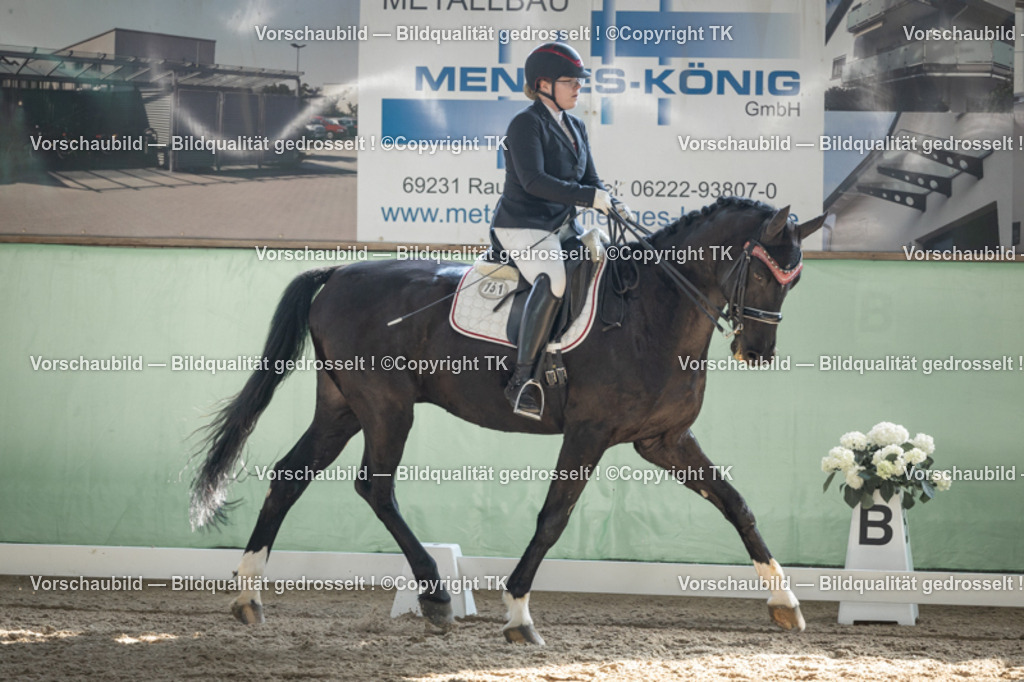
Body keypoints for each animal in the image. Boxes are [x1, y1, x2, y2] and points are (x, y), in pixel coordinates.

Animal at [190, 196, 825, 644]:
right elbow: (552, 518)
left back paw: (248, 596)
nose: (757, 352)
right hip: (386, 407)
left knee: (290, 477)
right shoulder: (589, 434)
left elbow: (736, 503)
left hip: (343, 406)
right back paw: (435, 597)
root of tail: (340, 274)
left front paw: (785, 603)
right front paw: (518, 613)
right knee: (375, 488)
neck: (652, 314)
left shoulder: (663, 439)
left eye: (795, 280)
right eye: (765, 273)